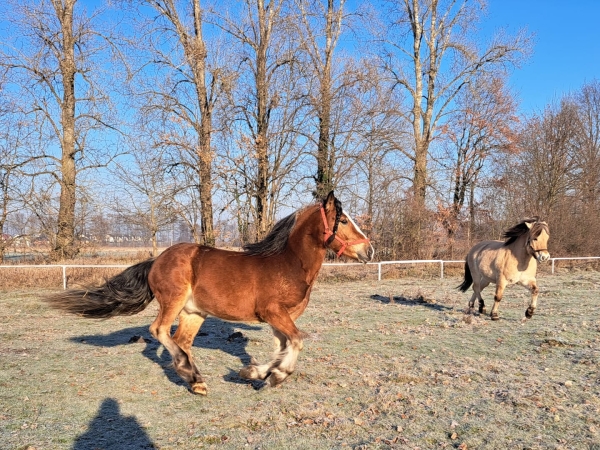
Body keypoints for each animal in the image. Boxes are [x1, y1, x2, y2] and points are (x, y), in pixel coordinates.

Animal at [45, 192, 376, 396]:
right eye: (343, 220)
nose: (369, 250)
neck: (287, 263)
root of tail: (157, 259)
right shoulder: (273, 313)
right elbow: (295, 342)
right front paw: (274, 376)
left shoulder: (280, 318)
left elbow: (283, 347)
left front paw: (254, 373)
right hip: (174, 301)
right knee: (159, 330)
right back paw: (191, 374)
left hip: (194, 312)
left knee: (180, 340)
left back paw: (194, 380)